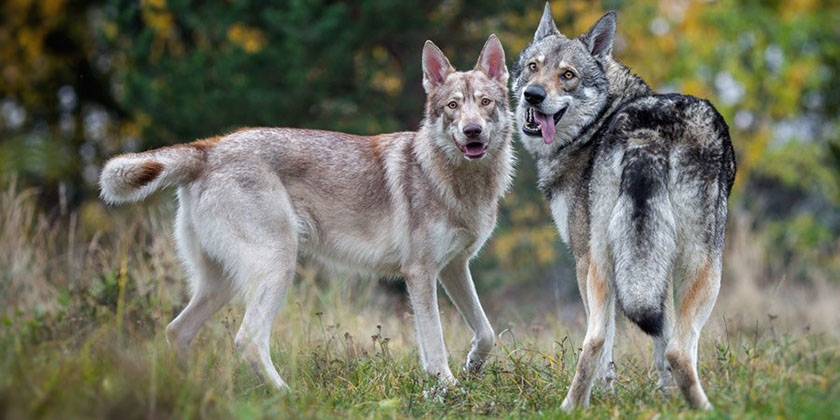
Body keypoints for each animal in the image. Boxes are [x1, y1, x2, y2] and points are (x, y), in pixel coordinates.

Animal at [99, 35, 514, 390]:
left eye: (485, 103)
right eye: (453, 106)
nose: (472, 131)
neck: (459, 181)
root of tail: (209, 148)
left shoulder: (454, 268)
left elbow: (486, 332)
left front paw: (471, 369)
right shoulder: (420, 273)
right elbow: (436, 343)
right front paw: (447, 389)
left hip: (224, 283)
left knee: (177, 331)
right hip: (278, 266)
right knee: (247, 340)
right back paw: (287, 395)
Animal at [512, 4, 736, 410]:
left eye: (567, 75)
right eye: (533, 67)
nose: (532, 95)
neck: (597, 123)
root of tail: (648, 131)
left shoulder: (603, 259)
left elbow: (656, 336)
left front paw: (658, 393)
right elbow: (662, 340)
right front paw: (660, 394)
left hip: (610, 261)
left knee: (598, 339)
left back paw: (573, 408)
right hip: (701, 268)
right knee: (672, 349)